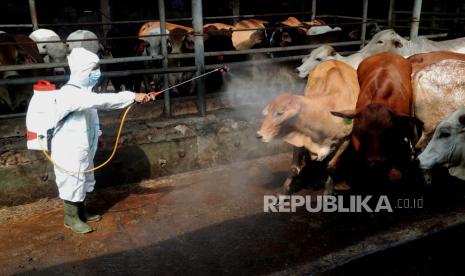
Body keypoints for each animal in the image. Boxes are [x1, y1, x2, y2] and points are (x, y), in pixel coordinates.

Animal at [256, 60, 358, 194]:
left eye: (280, 113)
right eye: (267, 112)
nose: (259, 135)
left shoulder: (346, 139)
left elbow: (331, 167)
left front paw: (328, 190)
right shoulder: (300, 138)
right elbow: (294, 168)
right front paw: (284, 192)